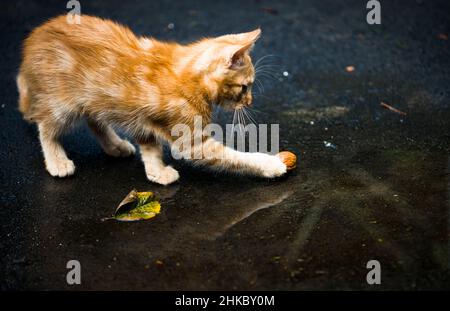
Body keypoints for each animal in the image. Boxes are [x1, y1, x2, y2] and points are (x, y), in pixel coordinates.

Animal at [17, 15, 286, 185]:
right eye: (245, 87)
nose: (249, 102)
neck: (186, 76)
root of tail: (32, 40)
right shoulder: (191, 140)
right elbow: (235, 157)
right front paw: (270, 164)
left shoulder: (144, 120)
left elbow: (150, 148)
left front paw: (156, 172)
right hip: (62, 104)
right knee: (46, 127)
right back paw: (57, 161)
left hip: (95, 98)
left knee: (94, 119)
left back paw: (115, 145)